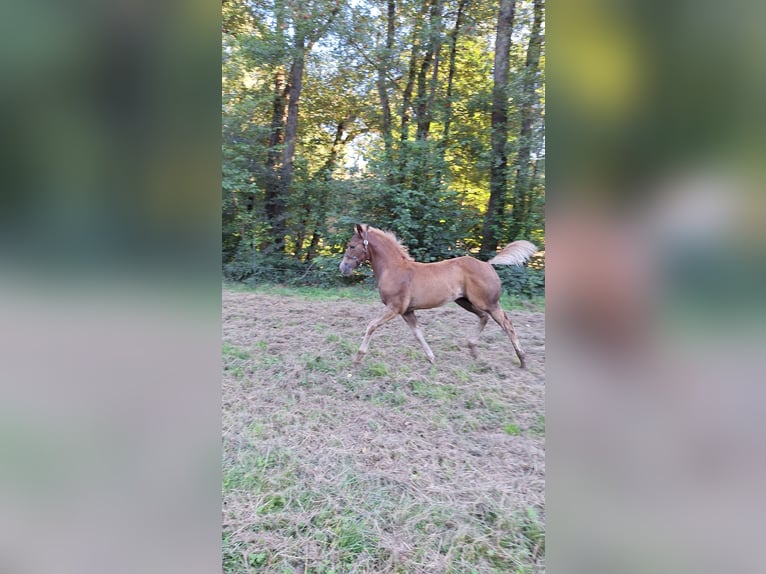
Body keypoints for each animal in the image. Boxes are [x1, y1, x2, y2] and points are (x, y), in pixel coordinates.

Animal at [339, 224, 538, 368]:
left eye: (351, 245)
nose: (343, 268)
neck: (395, 269)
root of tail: (488, 264)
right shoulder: (407, 311)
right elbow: (418, 333)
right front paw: (431, 358)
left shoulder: (395, 307)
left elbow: (371, 326)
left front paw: (358, 357)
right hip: (465, 301)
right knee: (484, 317)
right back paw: (473, 350)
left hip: (489, 302)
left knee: (507, 324)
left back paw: (522, 359)